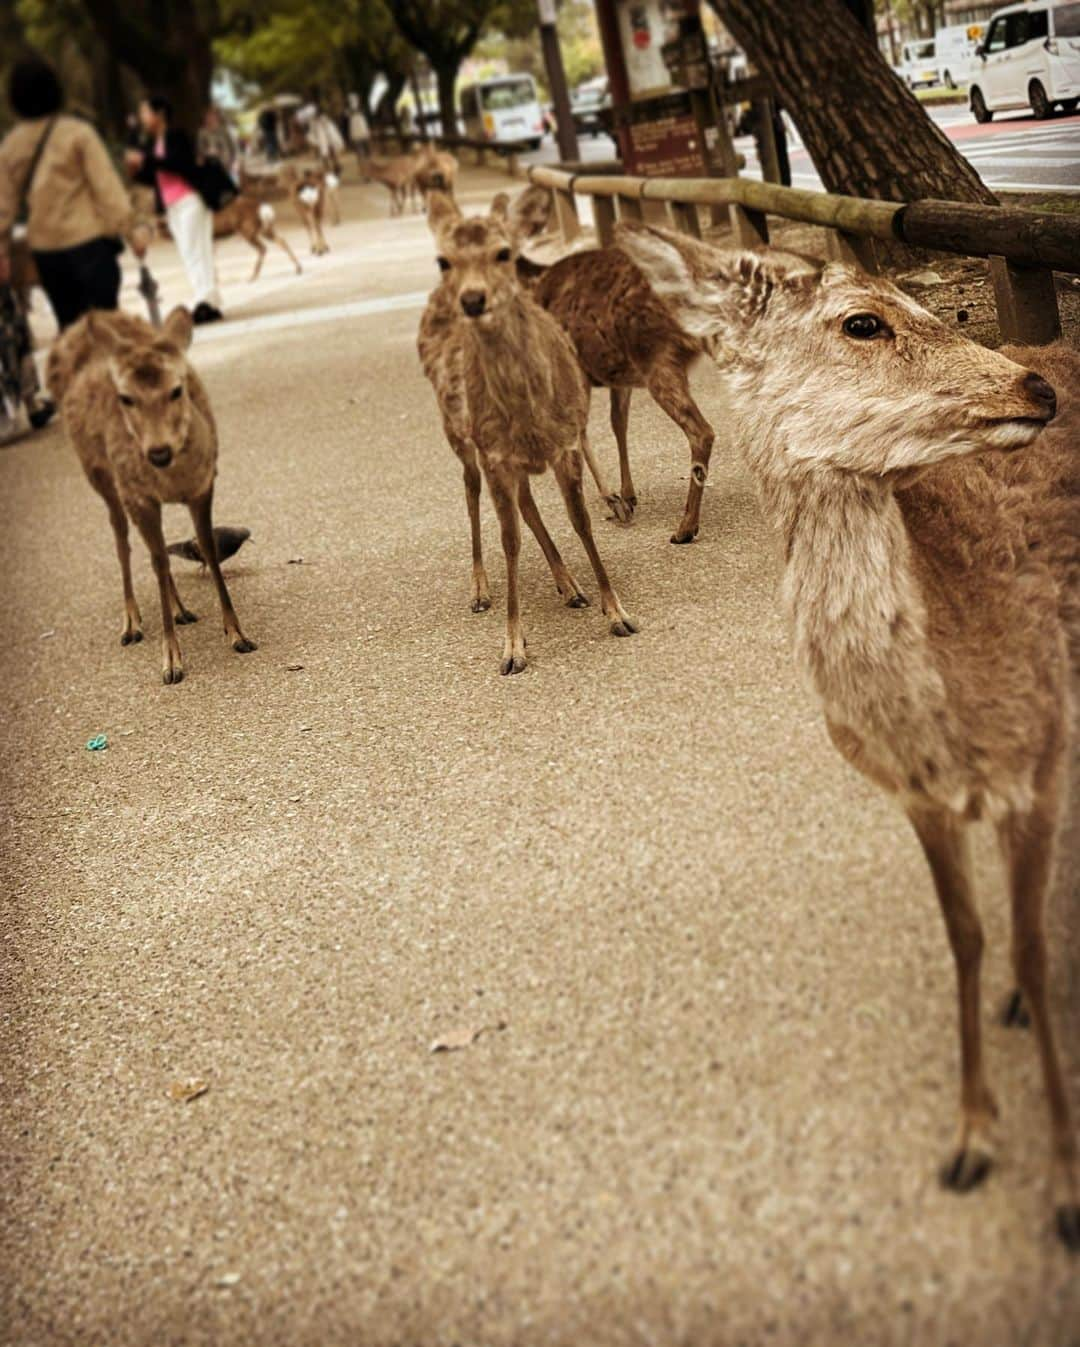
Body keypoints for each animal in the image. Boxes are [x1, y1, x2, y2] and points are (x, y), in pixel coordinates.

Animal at [47, 305, 257, 684]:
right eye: (125, 397)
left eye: (177, 389)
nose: (158, 452)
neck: (172, 481)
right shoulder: (138, 494)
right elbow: (158, 560)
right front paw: (171, 661)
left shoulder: (203, 484)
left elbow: (205, 548)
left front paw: (238, 634)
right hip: (102, 478)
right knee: (123, 541)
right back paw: (131, 623)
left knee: (153, 551)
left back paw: (180, 610)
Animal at [417, 189, 640, 673]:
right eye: (443, 259)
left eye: (503, 252)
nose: (472, 299)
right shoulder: (495, 453)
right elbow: (510, 541)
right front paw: (512, 647)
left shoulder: (563, 443)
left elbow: (580, 521)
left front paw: (616, 611)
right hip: (459, 435)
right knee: (471, 490)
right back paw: (481, 588)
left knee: (526, 501)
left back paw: (570, 585)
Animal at [614, 218, 1077, 1250]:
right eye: (863, 320)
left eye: (918, 297)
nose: (1036, 388)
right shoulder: (921, 798)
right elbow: (970, 936)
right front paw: (971, 1140)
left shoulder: (1035, 759)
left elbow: (1030, 945)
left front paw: (1068, 1192)